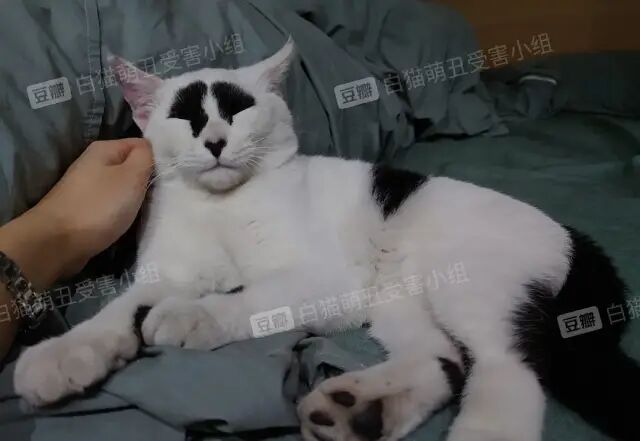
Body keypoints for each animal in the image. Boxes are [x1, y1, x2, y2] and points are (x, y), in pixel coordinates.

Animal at [14, 39, 638, 441]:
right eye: (186, 118)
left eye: (239, 110)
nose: (215, 141)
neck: (220, 207)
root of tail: (576, 238)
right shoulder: (168, 271)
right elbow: (118, 311)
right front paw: (64, 353)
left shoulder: (323, 278)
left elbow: (252, 297)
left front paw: (195, 315)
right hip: (400, 303)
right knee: (442, 360)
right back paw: (358, 410)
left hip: (472, 287)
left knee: (510, 371)